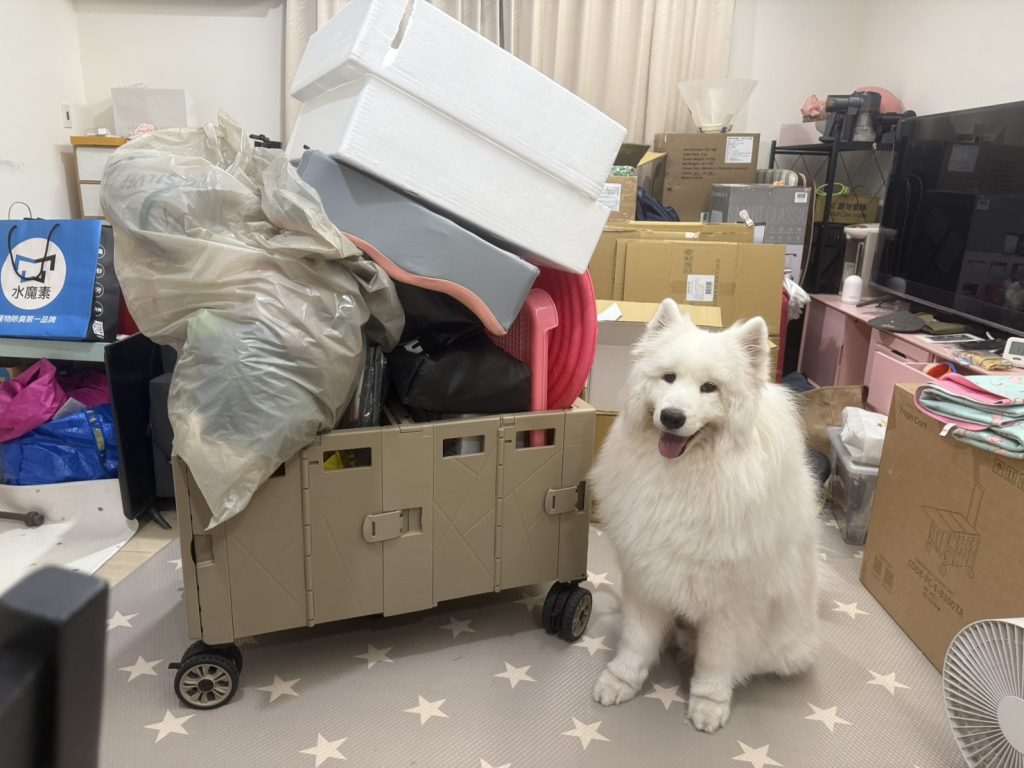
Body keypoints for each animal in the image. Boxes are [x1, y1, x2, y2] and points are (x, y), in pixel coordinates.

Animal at [590, 299, 820, 733]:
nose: (672, 416)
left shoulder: (731, 601)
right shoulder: (647, 576)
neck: (687, 480)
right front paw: (620, 681)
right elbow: (636, 641)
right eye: (668, 378)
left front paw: (709, 704)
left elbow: (716, 661)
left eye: (709, 388)